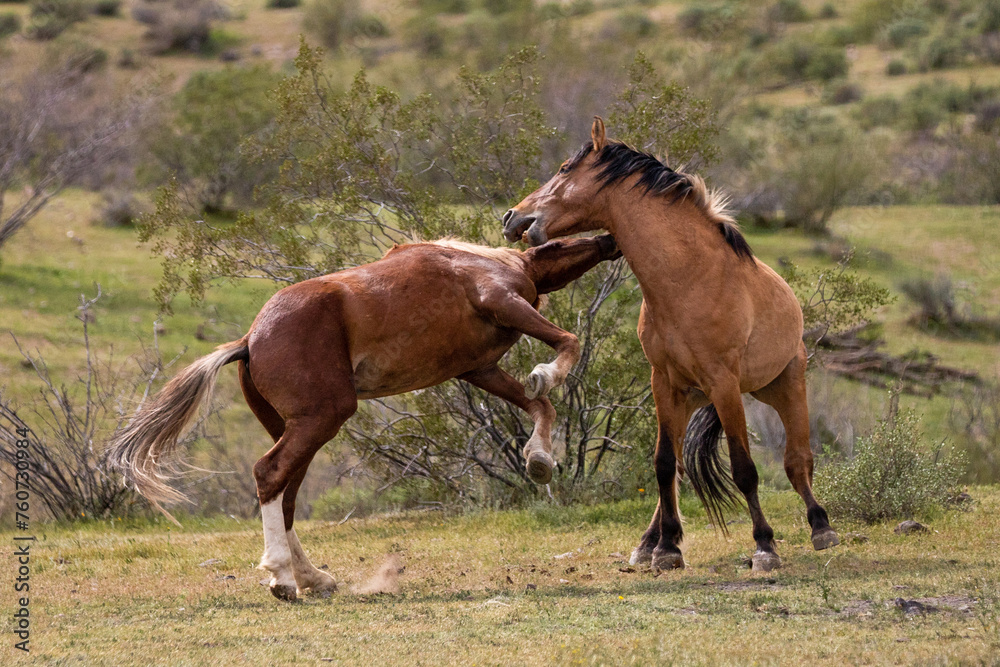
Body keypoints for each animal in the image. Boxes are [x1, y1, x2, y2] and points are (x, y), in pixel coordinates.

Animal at [113, 234, 620, 600]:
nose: (611, 242)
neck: (491, 261)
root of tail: (250, 339)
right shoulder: (499, 299)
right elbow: (567, 345)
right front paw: (546, 376)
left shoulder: (479, 368)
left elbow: (539, 404)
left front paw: (539, 460)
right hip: (324, 417)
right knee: (269, 473)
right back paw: (282, 579)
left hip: (300, 427)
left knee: (286, 493)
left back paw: (312, 578)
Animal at [504, 117, 840, 572]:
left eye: (563, 168)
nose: (513, 216)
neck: (688, 279)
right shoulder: (663, 382)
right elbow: (664, 465)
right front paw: (666, 549)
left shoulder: (724, 383)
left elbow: (745, 469)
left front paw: (765, 546)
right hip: (691, 398)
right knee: (679, 466)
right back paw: (650, 542)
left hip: (783, 384)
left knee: (797, 460)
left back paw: (821, 526)